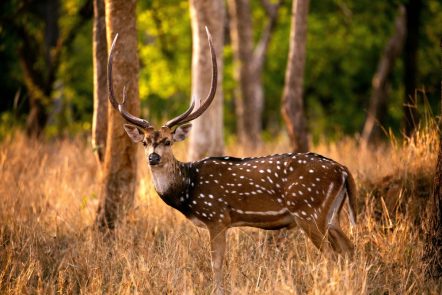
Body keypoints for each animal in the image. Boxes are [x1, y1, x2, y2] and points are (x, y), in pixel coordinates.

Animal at [107, 28, 356, 295]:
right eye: (144, 142)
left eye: (167, 141)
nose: (153, 157)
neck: (187, 190)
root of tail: (343, 170)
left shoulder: (217, 217)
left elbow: (216, 262)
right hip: (331, 215)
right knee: (348, 249)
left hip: (309, 211)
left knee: (331, 254)